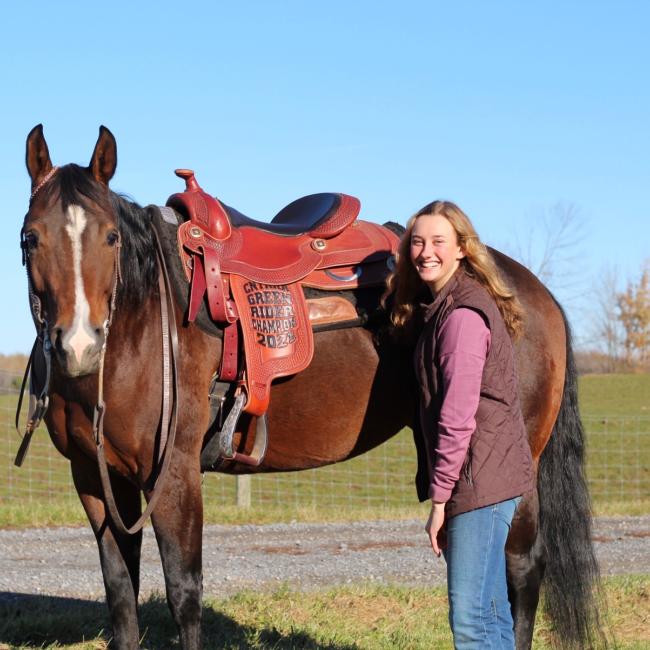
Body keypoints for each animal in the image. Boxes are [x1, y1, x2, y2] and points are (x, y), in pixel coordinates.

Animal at [19, 123, 596, 648]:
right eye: (30, 237)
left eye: (111, 237)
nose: (78, 345)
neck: (144, 323)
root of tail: (531, 290)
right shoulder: (95, 479)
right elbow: (121, 594)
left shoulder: (176, 476)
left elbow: (184, 593)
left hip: (519, 461)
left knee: (521, 565)